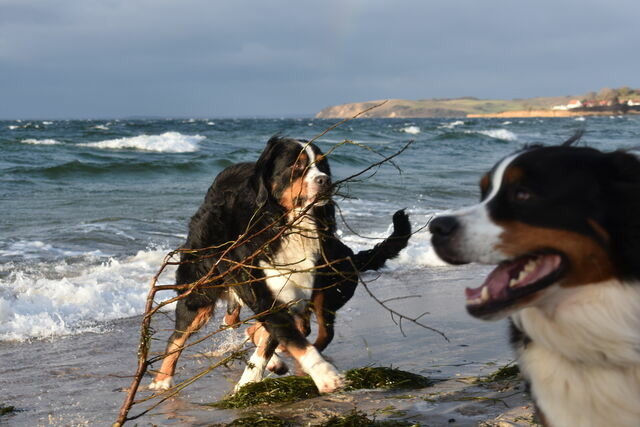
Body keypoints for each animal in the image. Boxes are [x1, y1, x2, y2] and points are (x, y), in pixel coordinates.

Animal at [149, 136, 410, 394]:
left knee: (312, 331)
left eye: (323, 165)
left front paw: (253, 378)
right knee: (177, 337)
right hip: (200, 293)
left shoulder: (291, 294)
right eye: (297, 166)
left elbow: (279, 339)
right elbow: (289, 337)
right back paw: (162, 380)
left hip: (327, 296)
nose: (325, 180)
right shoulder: (264, 291)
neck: (288, 228)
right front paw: (325, 375)